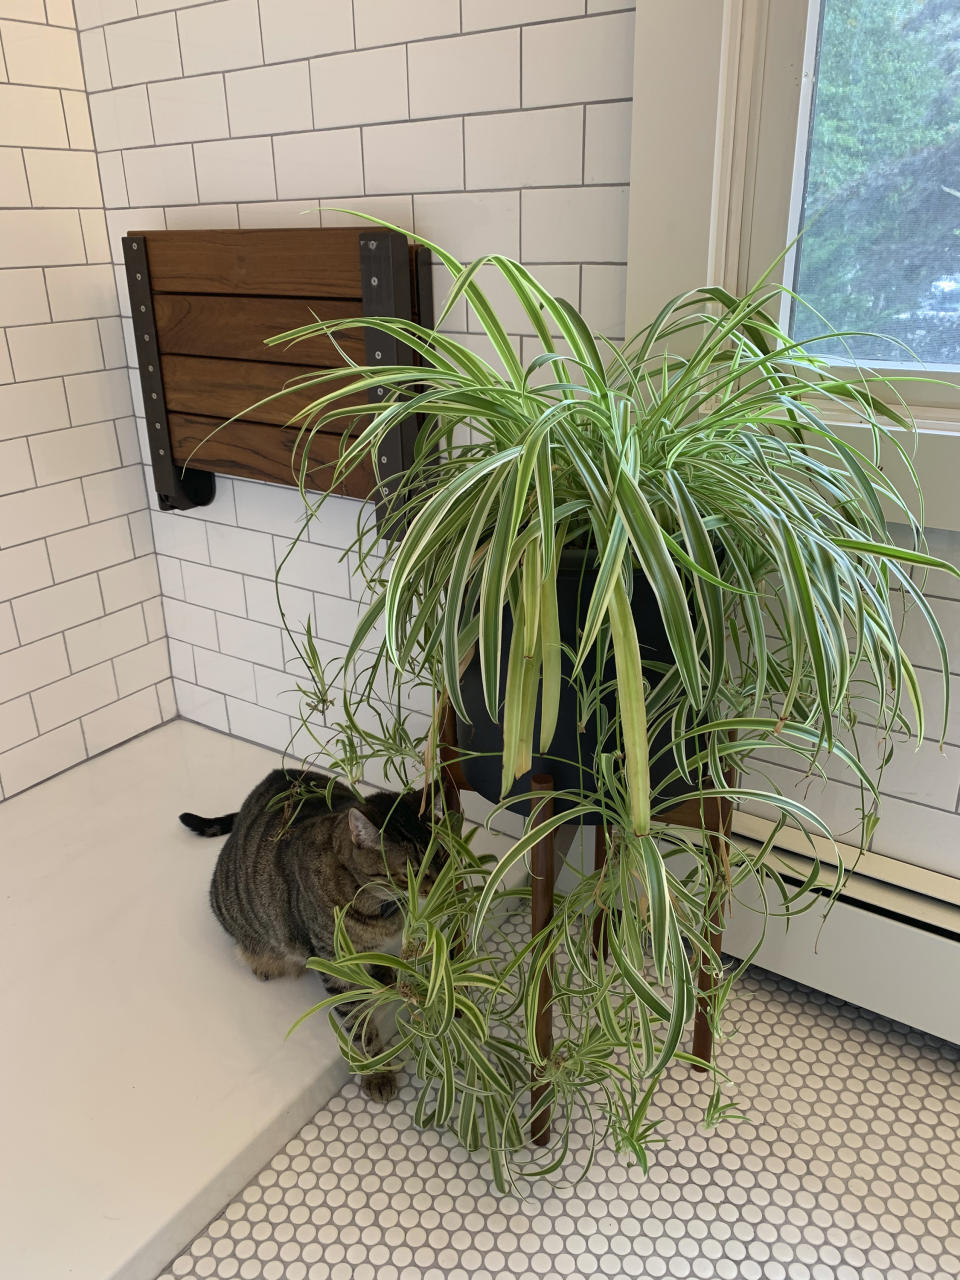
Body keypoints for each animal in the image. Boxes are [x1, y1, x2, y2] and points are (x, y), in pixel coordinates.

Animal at [181, 768, 435, 1100]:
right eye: (411, 872)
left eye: (442, 856)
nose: (439, 882)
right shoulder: (336, 967)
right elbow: (360, 1028)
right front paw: (377, 1073)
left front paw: (383, 971)